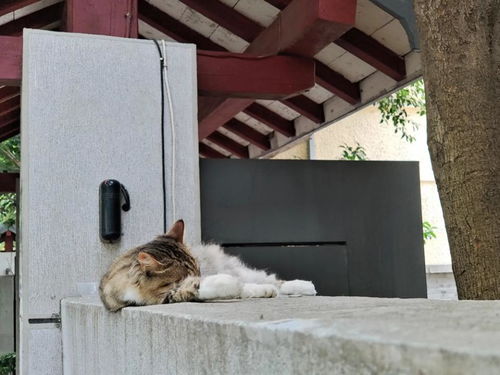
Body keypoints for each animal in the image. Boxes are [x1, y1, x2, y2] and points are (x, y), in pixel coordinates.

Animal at [99, 220, 314, 312]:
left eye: (198, 271)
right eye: (184, 277)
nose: (199, 275)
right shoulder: (166, 297)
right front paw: (238, 288)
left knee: (274, 280)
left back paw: (305, 286)